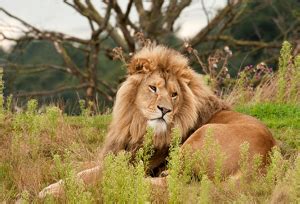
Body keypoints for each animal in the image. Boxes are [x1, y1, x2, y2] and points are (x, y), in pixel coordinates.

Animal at [38, 44, 276, 198]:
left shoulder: (138, 161)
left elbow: (89, 173)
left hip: (202, 136)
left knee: (174, 183)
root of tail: (263, 164)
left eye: (174, 94)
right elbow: (80, 166)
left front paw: (51, 190)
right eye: (153, 88)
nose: (165, 110)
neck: (136, 126)